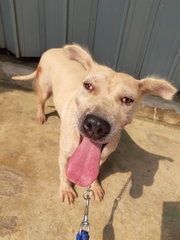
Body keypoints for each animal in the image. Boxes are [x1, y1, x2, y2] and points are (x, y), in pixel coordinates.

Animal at [13, 44, 177, 203]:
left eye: (127, 100)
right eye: (88, 85)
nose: (96, 124)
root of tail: (53, 49)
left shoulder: (101, 158)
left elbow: (94, 173)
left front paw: (94, 186)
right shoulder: (64, 155)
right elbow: (64, 174)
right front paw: (66, 189)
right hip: (44, 88)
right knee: (40, 102)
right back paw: (40, 115)